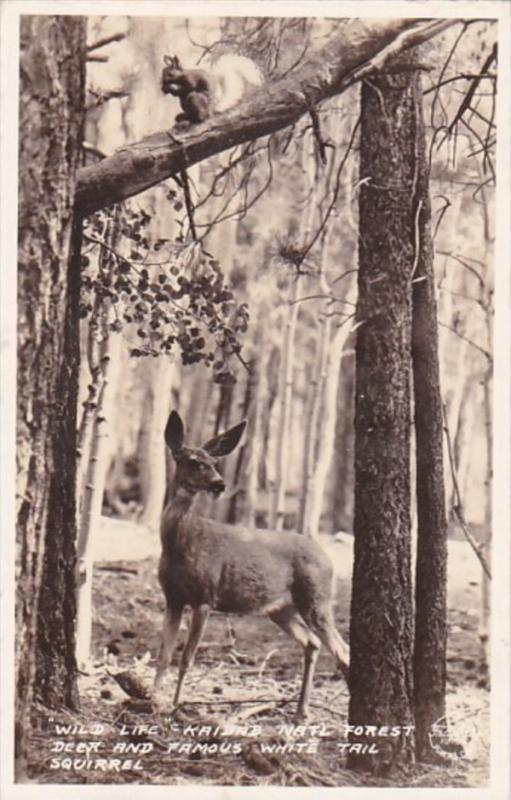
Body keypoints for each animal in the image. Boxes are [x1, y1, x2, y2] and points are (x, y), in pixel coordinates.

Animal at [154, 412, 350, 720]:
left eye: (214, 462)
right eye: (193, 461)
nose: (219, 484)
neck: (181, 542)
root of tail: (327, 557)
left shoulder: (205, 597)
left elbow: (187, 658)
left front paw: (176, 705)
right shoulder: (172, 597)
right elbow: (163, 655)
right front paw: (151, 699)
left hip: (316, 599)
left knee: (342, 649)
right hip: (280, 609)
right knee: (312, 643)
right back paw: (300, 712)